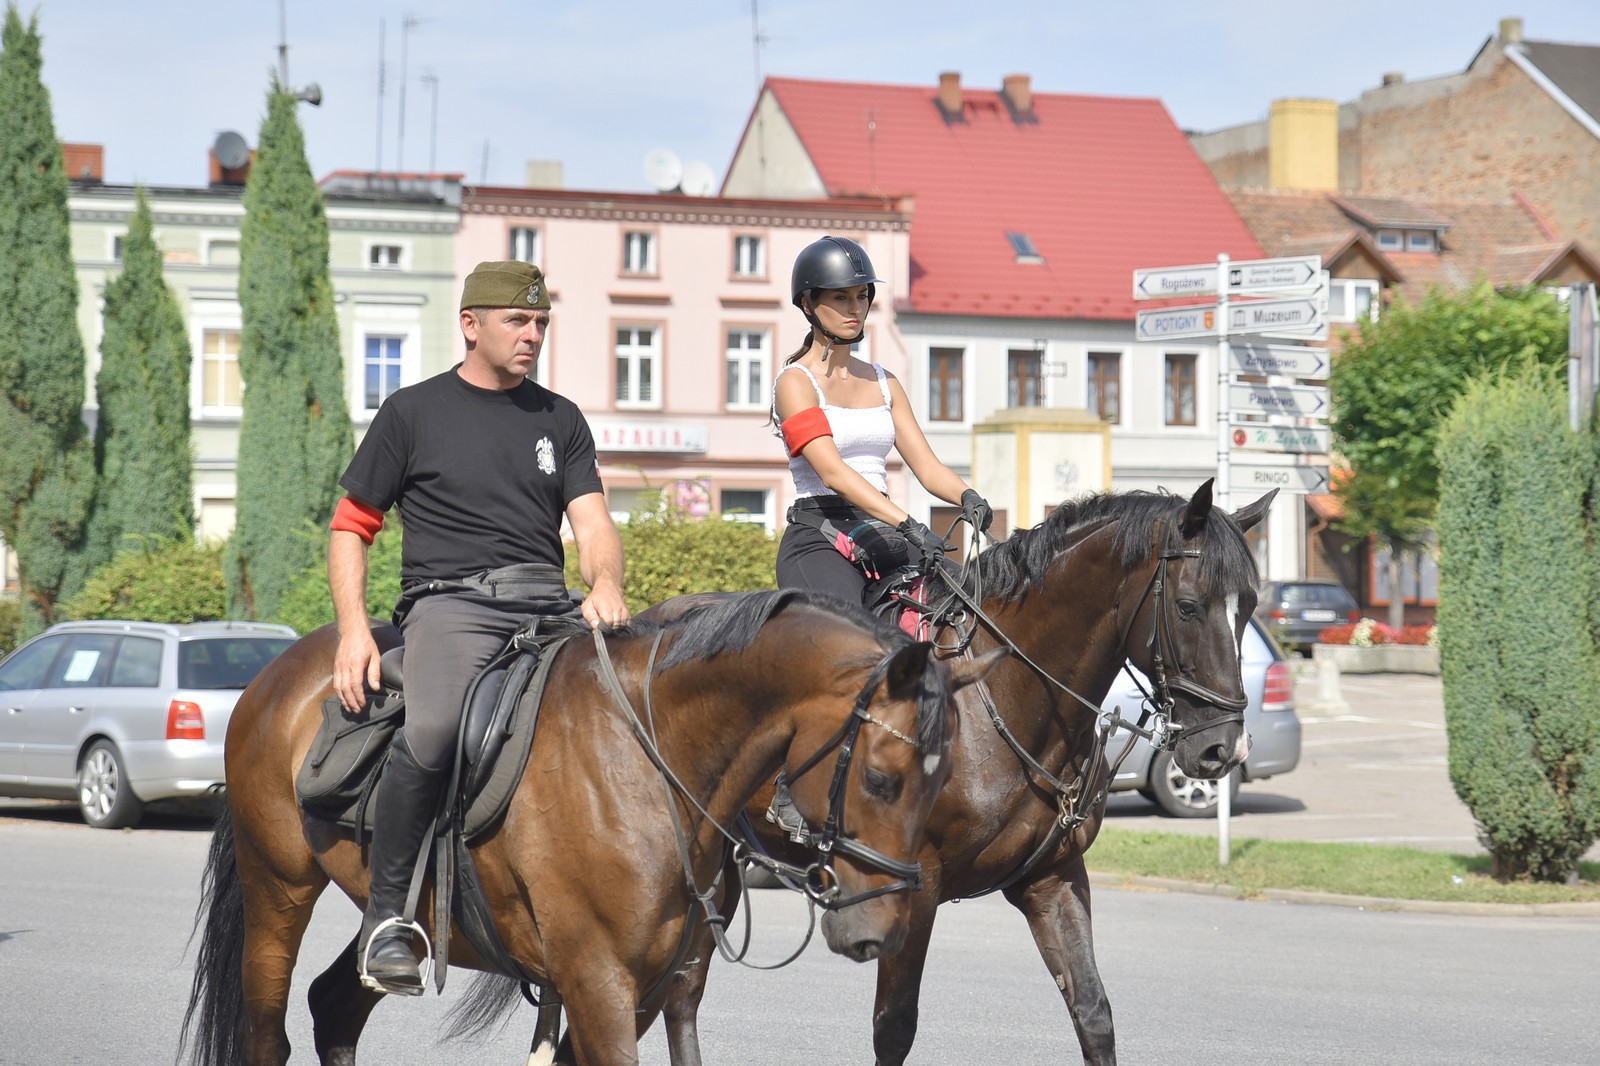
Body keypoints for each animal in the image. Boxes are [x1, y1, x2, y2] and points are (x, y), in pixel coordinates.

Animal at [175, 589, 998, 1062]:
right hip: (278, 893)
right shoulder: (599, 982)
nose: (879, 932)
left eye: (941, 785)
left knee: (335, 1009)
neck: (652, 756)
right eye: (883, 778)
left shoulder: (665, 985)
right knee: (268, 1030)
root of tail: (278, 671)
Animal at [499, 476, 1273, 1056]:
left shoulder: (1053, 878)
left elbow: (1094, 1012)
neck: (1006, 695)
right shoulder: (915, 888)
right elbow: (894, 1028)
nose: (1219, 749)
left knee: (675, 998)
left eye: (1250, 610)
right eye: (1188, 605)